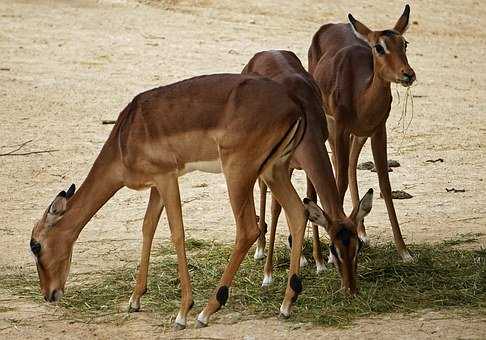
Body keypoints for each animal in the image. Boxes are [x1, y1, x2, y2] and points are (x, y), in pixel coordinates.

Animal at [29, 74, 312, 330]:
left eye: (36, 245)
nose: (48, 294)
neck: (125, 137)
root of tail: (294, 105)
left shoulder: (167, 177)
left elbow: (177, 233)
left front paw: (183, 312)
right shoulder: (156, 185)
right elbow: (147, 228)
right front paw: (135, 299)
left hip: (238, 174)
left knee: (248, 229)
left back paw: (207, 311)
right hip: (274, 171)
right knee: (298, 213)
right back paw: (286, 304)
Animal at [241, 49, 374, 294]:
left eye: (357, 246)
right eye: (334, 249)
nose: (350, 289)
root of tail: (264, 53)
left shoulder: (306, 162)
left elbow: (310, 200)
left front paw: (319, 263)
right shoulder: (279, 166)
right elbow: (276, 209)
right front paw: (267, 275)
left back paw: (300, 256)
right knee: (262, 190)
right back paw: (260, 249)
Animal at [310, 4, 416, 260]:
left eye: (404, 43)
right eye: (379, 47)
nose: (408, 74)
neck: (359, 95)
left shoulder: (379, 130)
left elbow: (385, 185)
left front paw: (404, 251)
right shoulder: (339, 128)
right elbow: (337, 181)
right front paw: (332, 252)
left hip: (359, 135)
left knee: (350, 165)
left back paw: (361, 231)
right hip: (331, 127)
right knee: (339, 168)